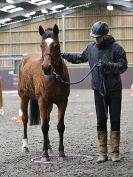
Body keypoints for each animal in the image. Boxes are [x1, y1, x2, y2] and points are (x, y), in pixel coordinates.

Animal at [18, 24, 70, 161]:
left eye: (56, 45)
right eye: (41, 45)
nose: (46, 68)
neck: (54, 77)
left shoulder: (63, 102)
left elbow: (60, 126)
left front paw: (61, 153)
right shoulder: (42, 101)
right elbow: (44, 126)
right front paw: (44, 154)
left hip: (49, 105)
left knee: (46, 120)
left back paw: (49, 146)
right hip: (23, 97)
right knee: (25, 119)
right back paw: (25, 145)